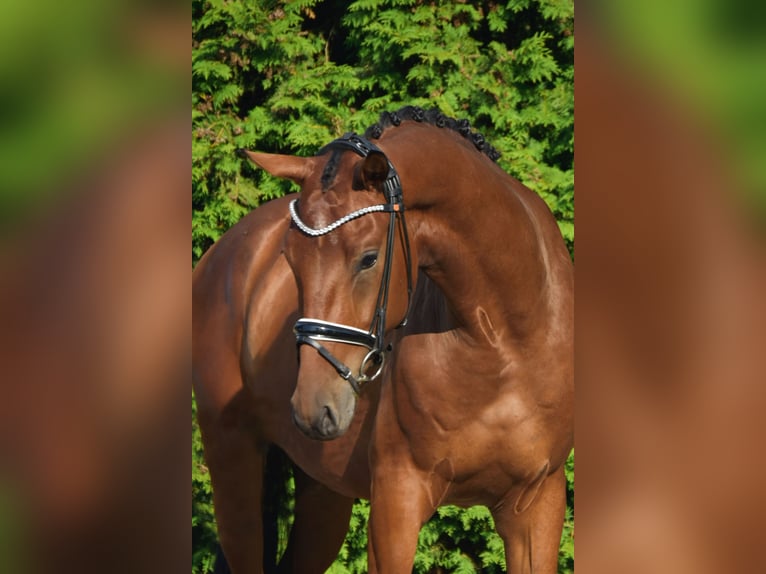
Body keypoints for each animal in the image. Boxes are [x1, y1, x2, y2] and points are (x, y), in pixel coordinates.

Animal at [243, 106, 572, 572]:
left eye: (369, 258)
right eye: (289, 257)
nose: (312, 408)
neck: (504, 337)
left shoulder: (538, 502)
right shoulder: (396, 501)